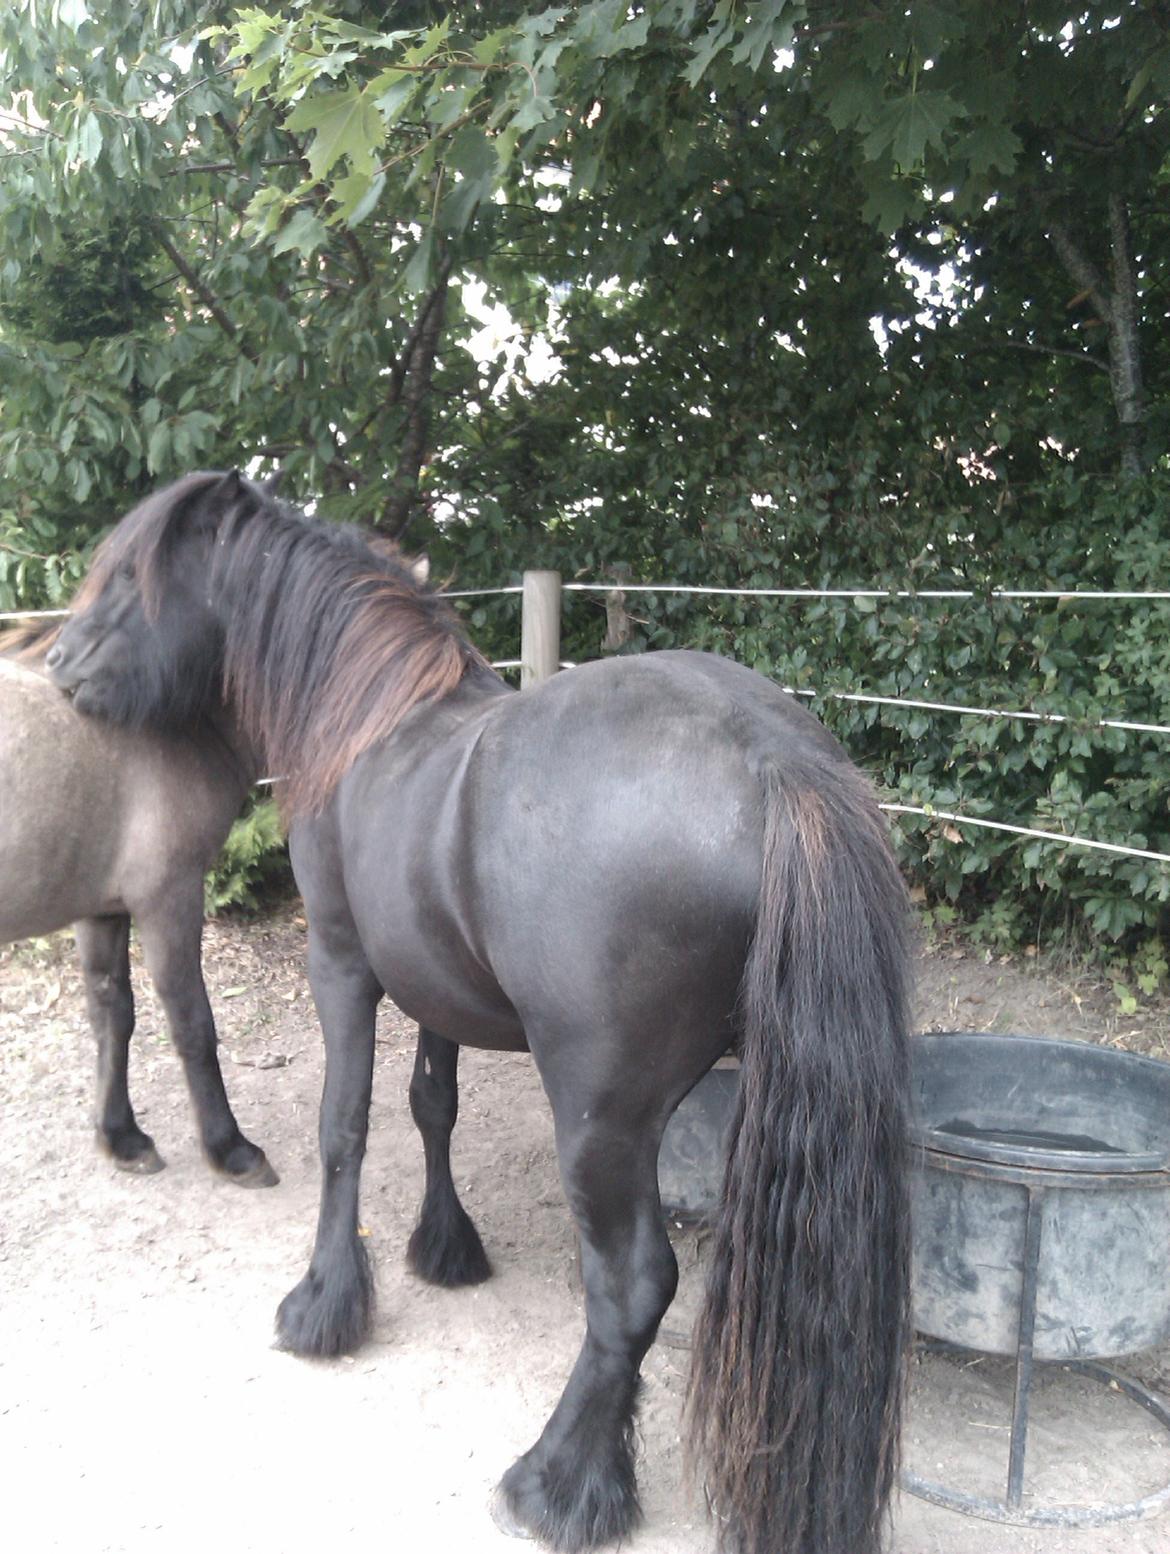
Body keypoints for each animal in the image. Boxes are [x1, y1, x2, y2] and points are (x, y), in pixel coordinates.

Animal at [0, 629, 276, 1186]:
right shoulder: (169, 900)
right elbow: (192, 1022)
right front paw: (230, 1148)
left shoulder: (101, 910)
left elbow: (112, 1016)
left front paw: (120, 1137)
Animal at [45, 470, 912, 1554]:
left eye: (131, 577)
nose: (58, 665)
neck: (370, 726)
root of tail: (771, 761)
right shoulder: (435, 988)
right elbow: (432, 1107)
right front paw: (446, 1250)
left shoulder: (343, 966)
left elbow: (344, 1128)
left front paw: (324, 1305)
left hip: (600, 1117)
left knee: (633, 1286)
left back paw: (559, 1483)